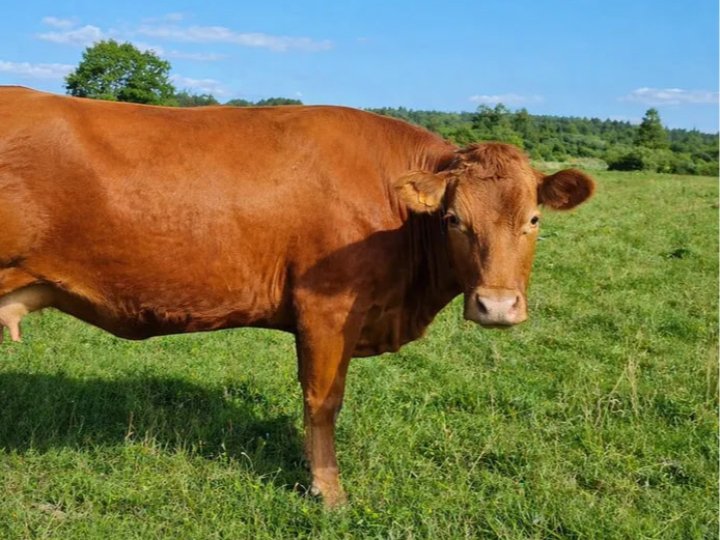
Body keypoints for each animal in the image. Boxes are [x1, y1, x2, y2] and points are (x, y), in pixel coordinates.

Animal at [0, 86, 594, 506]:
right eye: (453, 219)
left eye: (534, 219)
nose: (497, 307)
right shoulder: (326, 307)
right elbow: (323, 401)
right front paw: (327, 491)